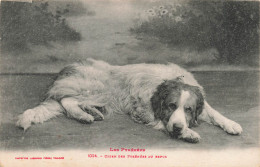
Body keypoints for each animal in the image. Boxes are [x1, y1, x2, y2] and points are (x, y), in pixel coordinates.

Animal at [17, 58, 243, 142]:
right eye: (171, 106)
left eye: (188, 109)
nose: (180, 127)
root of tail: (68, 69)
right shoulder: (143, 110)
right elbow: (163, 121)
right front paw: (188, 132)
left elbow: (214, 112)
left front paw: (231, 124)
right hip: (98, 88)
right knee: (66, 100)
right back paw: (83, 116)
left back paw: (91, 113)